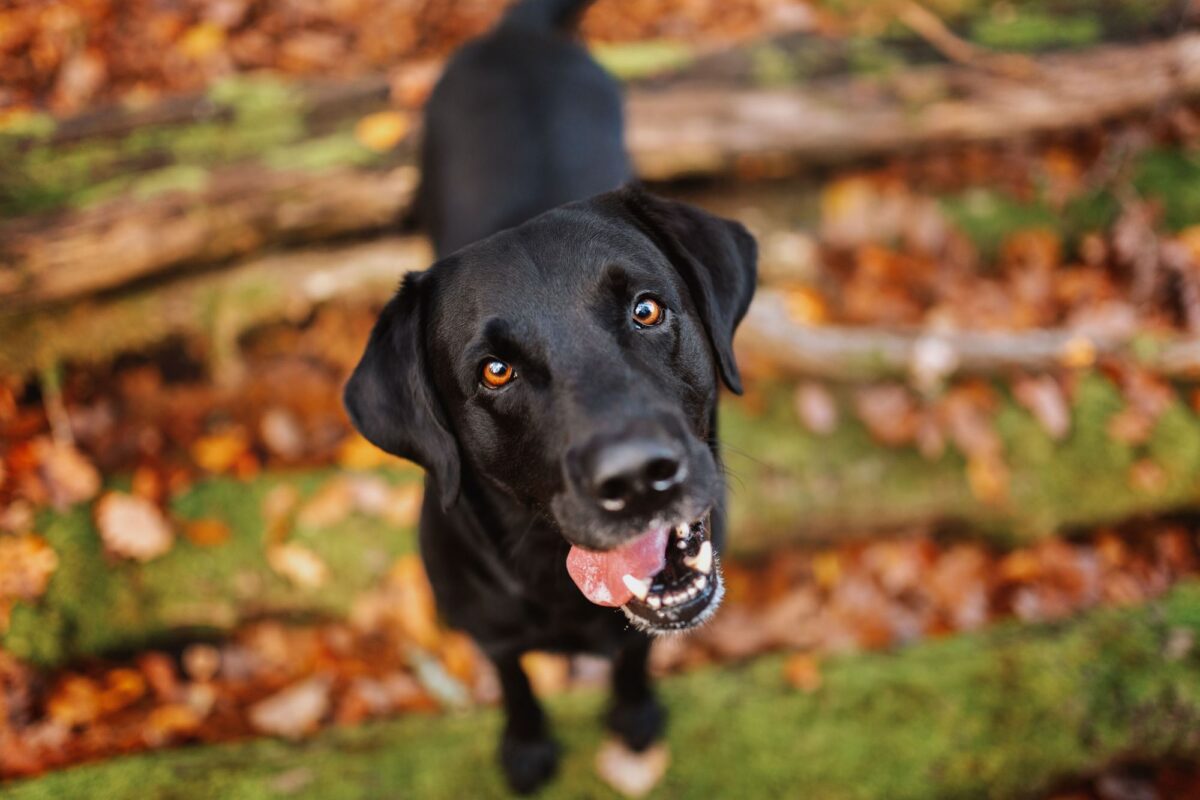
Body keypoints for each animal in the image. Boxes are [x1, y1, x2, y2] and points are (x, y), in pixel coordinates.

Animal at [348, 0, 758, 796]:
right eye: (495, 371)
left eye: (646, 310)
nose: (639, 479)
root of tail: (521, 32)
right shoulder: (486, 628)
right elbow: (514, 680)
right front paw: (527, 746)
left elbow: (635, 653)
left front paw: (633, 713)